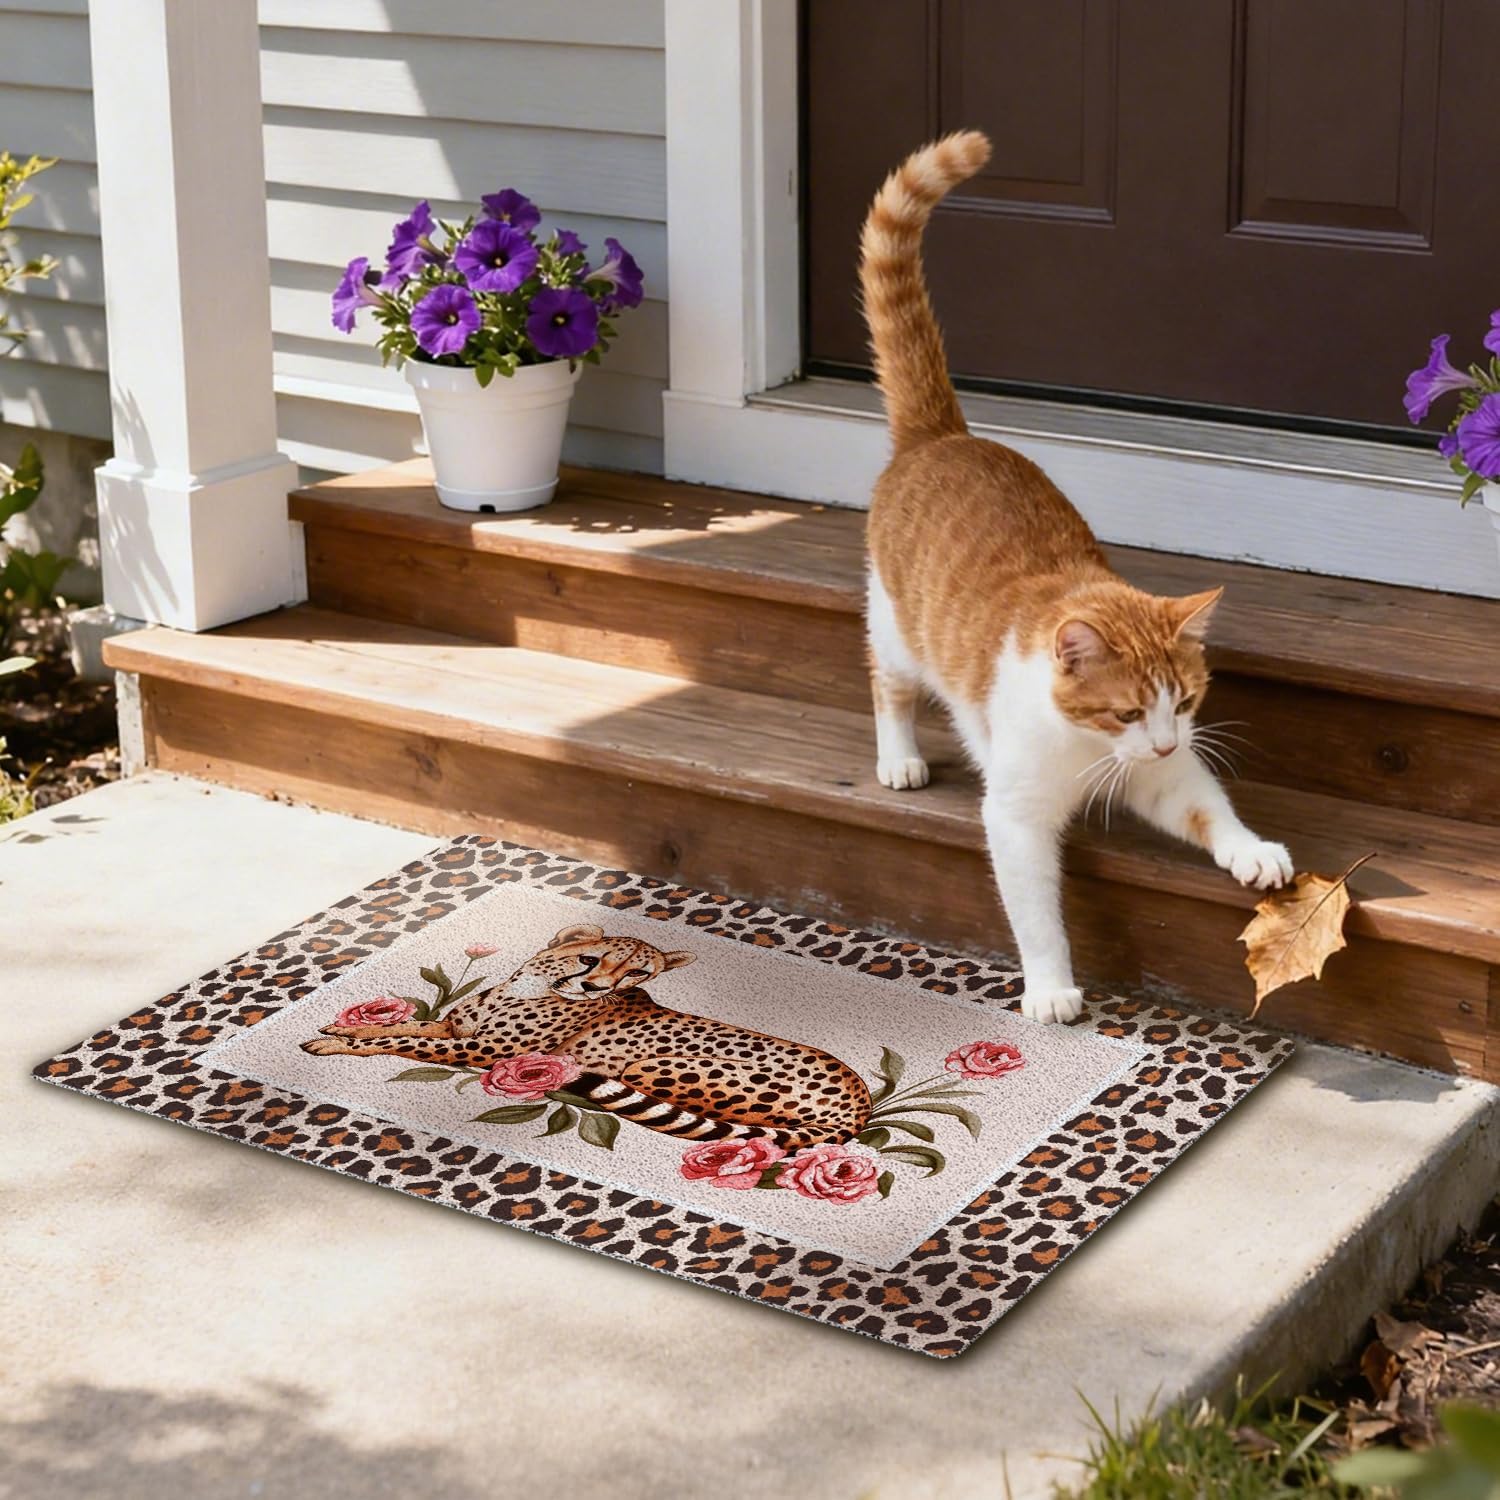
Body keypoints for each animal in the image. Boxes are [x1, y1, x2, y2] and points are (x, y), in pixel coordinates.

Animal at [301, 924, 873, 1149]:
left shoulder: (481, 1050)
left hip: (650, 1066)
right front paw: (339, 1027)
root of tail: (861, 1105)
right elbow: (406, 1026)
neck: (527, 987)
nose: (593, 986)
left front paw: (335, 1043)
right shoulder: (455, 1028)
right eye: (590, 959)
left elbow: (404, 1043)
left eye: (637, 973)